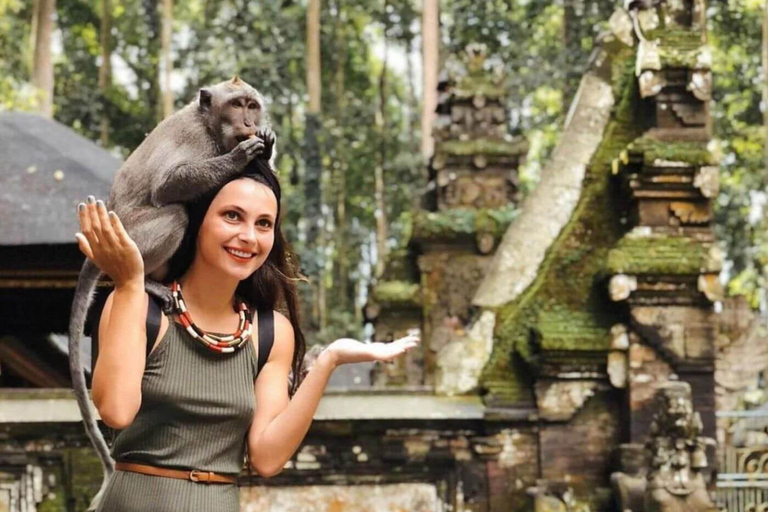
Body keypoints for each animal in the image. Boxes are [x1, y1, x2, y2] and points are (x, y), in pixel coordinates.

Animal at [67, 76, 277, 510]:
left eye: (252, 105)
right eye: (237, 105)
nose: (250, 122)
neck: (212, 128)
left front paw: (266, 144)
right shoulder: (193, 139)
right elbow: (168, 185)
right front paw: (240, 156)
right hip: (132, 234)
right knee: (177, 212)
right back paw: (146, 280)